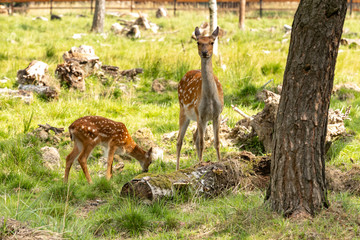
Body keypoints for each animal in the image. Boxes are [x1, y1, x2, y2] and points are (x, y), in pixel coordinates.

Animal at [176, 26, 224, 170]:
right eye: (198, 42)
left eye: (212, 42)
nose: (204, 52)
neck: (210, 98)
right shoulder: (200, 113)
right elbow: (203, 143)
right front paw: (201, 164)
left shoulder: (216, 114)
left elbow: (216, 142)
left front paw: (219, 161)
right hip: (183, 110)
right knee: (179, 140)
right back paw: (177, 168)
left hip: (200, 118)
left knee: (194, 136)